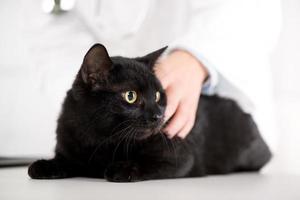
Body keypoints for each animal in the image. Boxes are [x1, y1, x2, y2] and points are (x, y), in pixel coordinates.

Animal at [28, 44, 272, 182]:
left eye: (157, 95)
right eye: (131, 96)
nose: (157, 116)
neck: (102, 140)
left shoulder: (178, 157)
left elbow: (147, 163)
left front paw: (122, 169)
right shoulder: (71, 147)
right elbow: (67, 161)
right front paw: (45, 166)